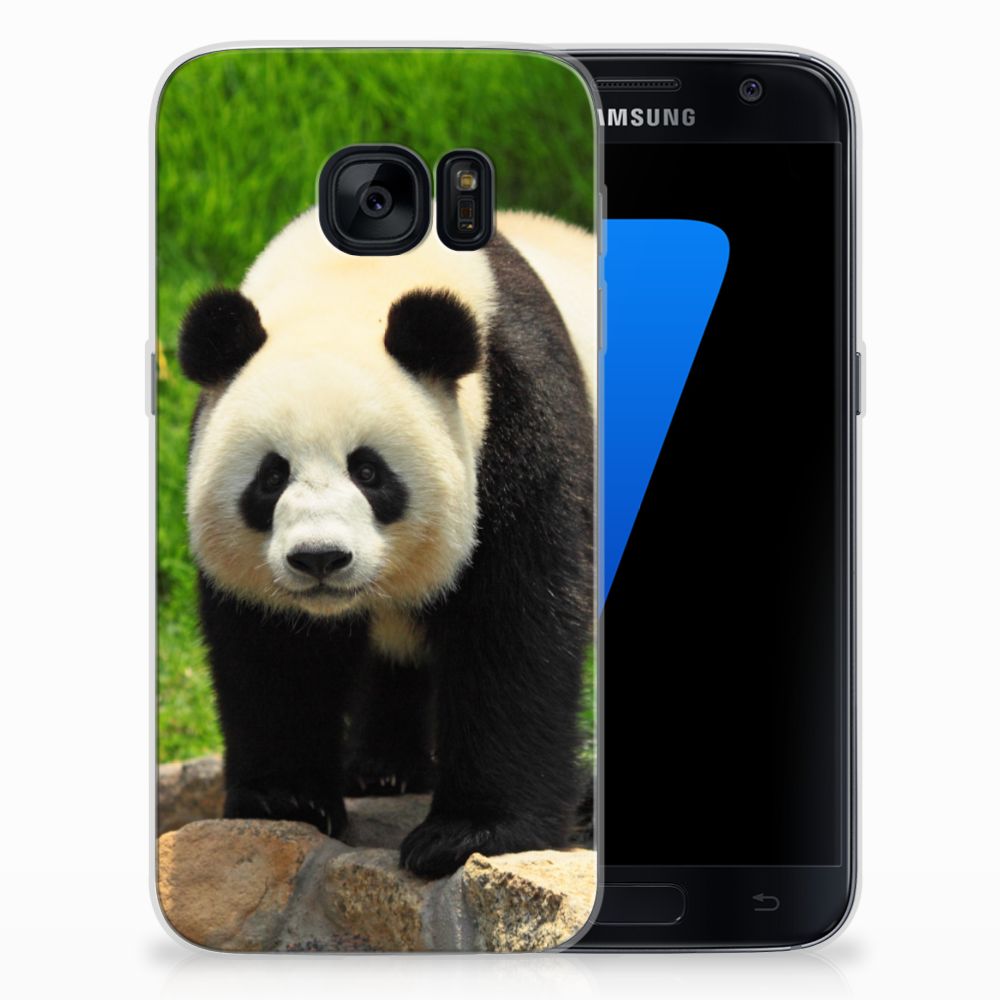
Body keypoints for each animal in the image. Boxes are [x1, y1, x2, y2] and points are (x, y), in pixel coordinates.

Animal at [178, 208, 595, 878]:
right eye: (271, 476)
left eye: (369, 471)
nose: (320, 558)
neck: (351, 282)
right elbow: (275, 649)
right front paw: (285, 799)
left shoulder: (518, 418)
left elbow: (515, 624)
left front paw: (468, 833)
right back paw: (382, 769)